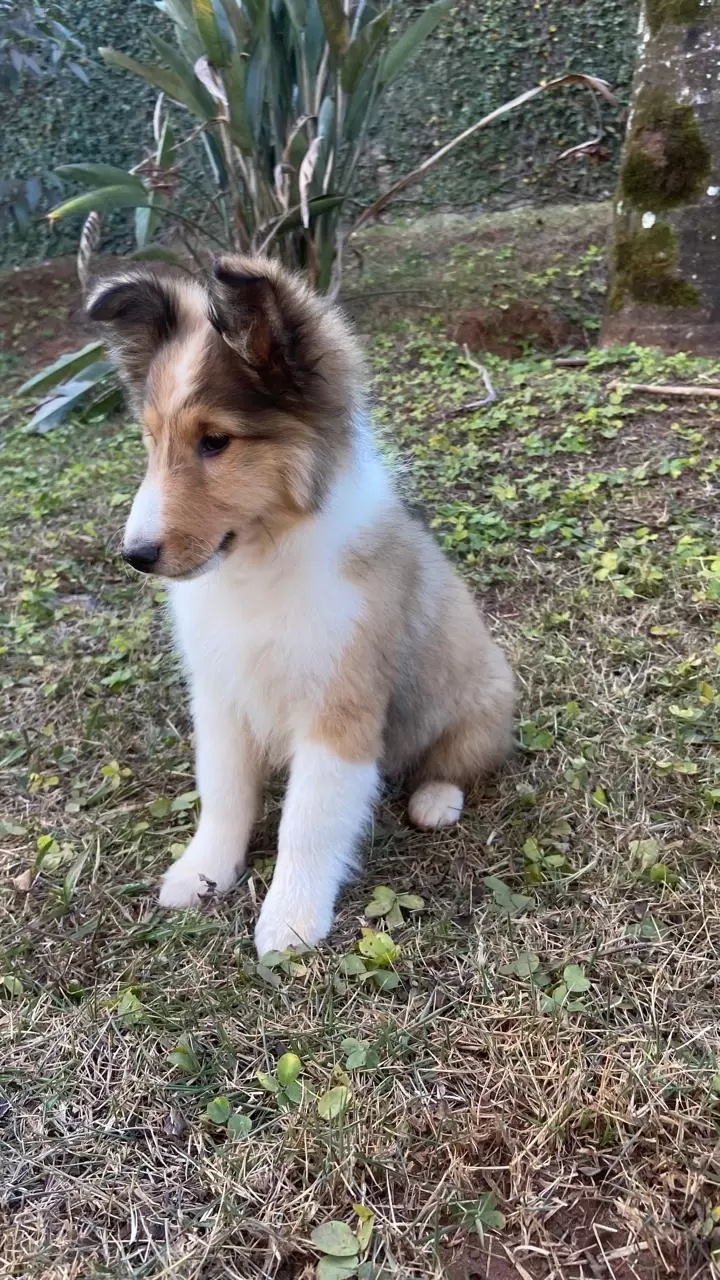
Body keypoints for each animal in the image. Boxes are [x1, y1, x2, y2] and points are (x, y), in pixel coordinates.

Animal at [87, 254, 512, 957]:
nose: (136, 555)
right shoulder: (220, 695)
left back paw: (435, 800)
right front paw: (202, 873)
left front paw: (289, 920)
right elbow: (224, 794)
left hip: (480, 698)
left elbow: (307, 822)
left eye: (215, 441)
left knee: (460, 761)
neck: (261, 560)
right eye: (150, 440)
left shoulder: (338, 710)